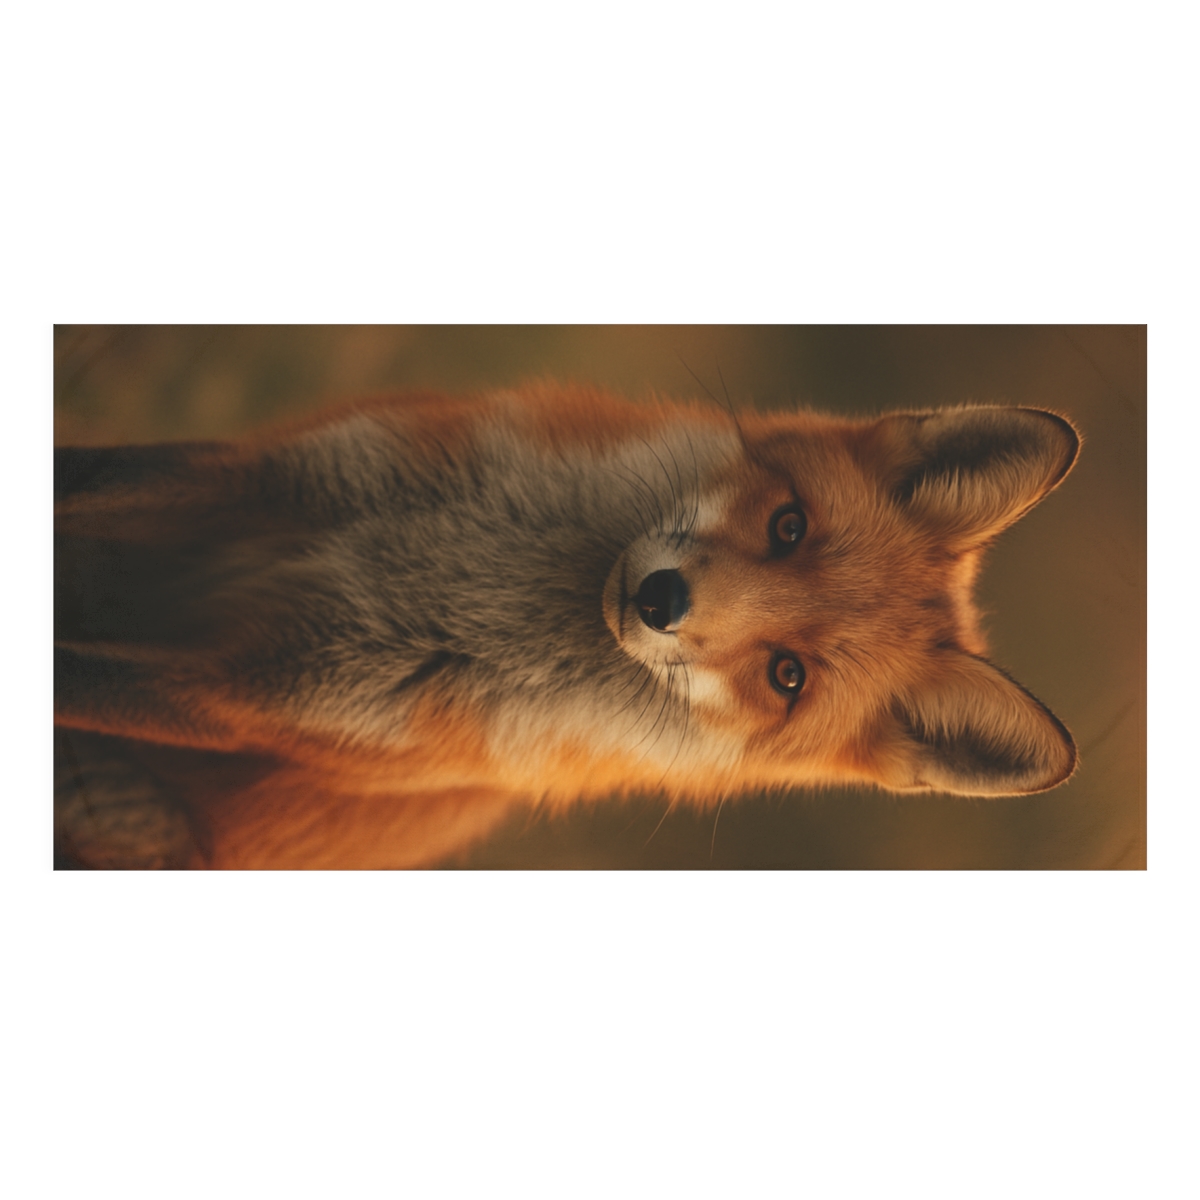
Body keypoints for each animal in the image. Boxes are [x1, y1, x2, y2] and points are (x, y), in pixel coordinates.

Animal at [54, 382, 1080, 869]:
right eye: (790, 526)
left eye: (787, 676)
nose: (659, 601)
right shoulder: (272, 476)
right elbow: (81, 474)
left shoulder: (258, 700)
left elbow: (72, 676)